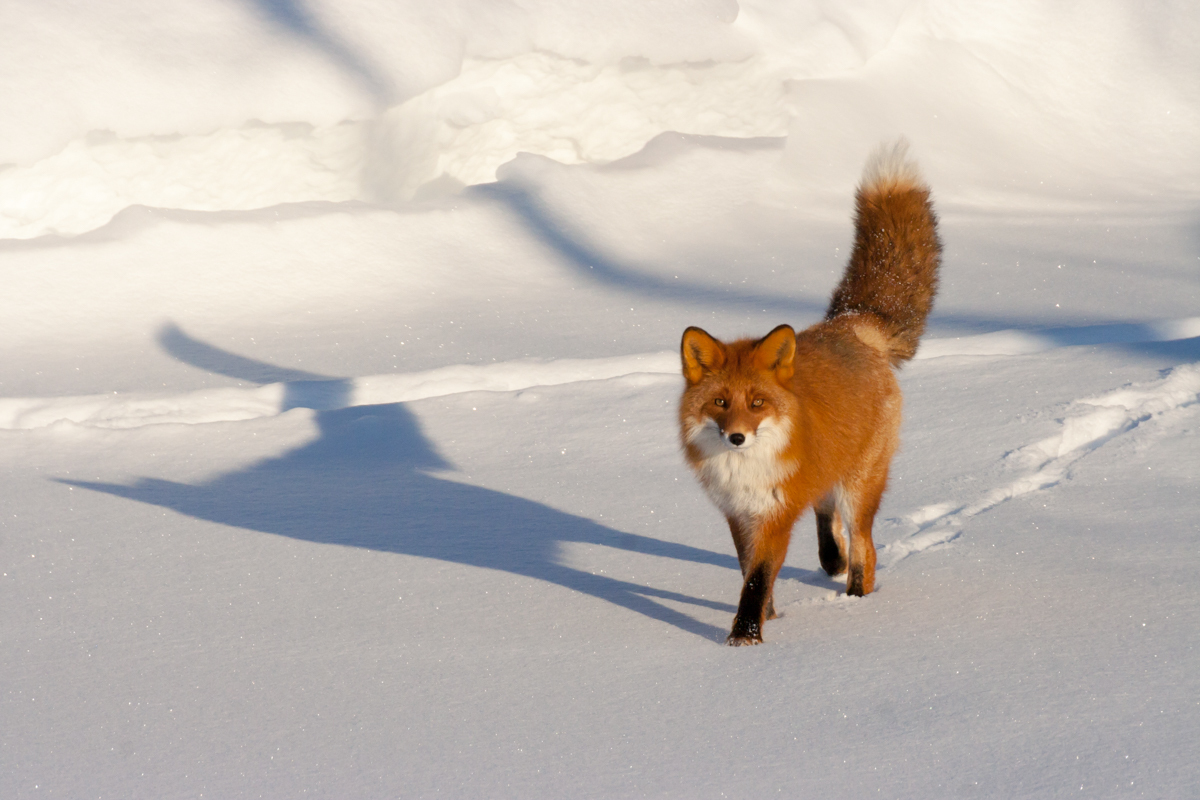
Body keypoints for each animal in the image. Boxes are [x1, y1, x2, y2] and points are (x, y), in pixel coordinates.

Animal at [681, 142, 940, 642]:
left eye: (757, 403)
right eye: (720, 403)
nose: (736, 437)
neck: (745, 470)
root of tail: (851, 323)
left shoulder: (775, 516)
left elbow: (757, 580)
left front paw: (744, 640)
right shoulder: (739, 515)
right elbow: (751, 575)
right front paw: (767, 619)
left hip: (861, 485)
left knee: (865, 550)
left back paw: (856, 600)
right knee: (827, 516)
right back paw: (831, 561)